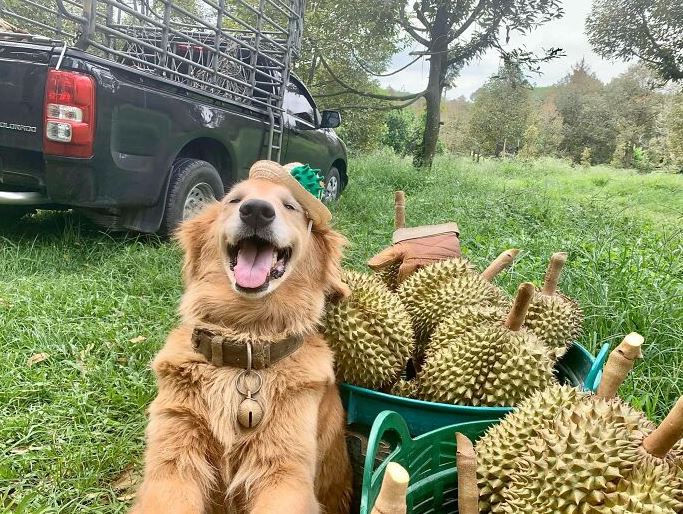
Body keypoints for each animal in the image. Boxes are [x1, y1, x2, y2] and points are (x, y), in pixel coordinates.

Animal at [131, 161, 352, 512]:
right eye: (234, 200)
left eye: (290, 206)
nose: (257, 211)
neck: (246, 340)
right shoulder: (173, 457)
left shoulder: (284, 471)